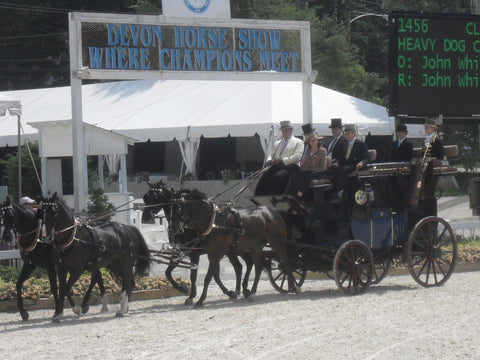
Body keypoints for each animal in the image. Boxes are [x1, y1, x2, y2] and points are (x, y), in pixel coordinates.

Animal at [42, 193, 152, 322]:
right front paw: (59, 313)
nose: (45, 235)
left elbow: (65, 289)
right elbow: (62, 289)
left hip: (126, 263)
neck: (73, 238)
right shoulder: (61, 269)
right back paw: (124, 307)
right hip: (114, 265)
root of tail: (129, 229)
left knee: (128, 281)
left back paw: (122, 309)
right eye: (41, 211)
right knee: (130, 282)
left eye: (54, 212)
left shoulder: (77, 270)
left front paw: (76, 309)